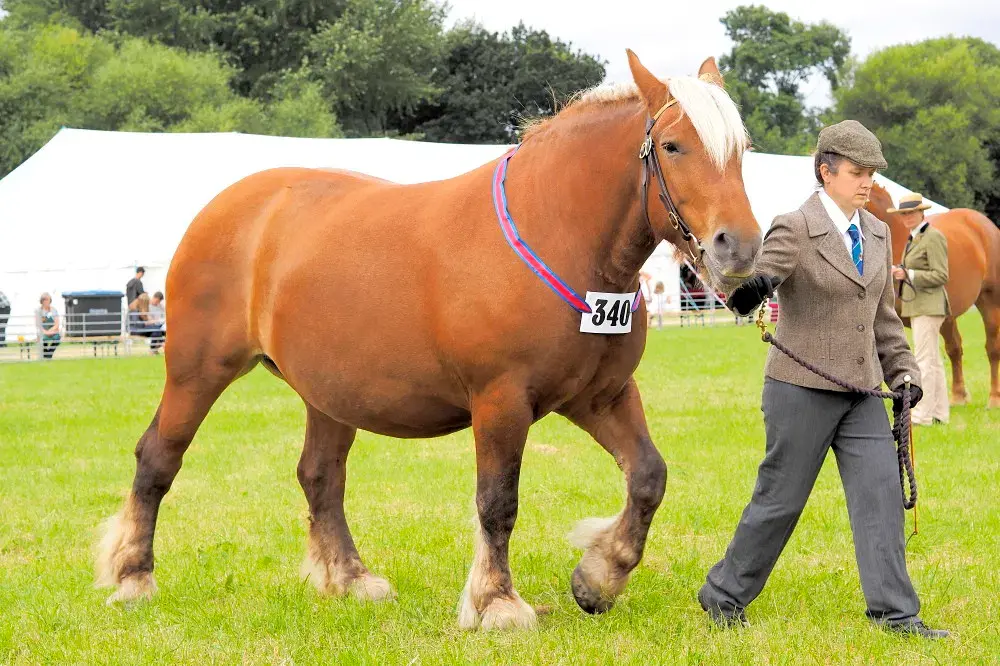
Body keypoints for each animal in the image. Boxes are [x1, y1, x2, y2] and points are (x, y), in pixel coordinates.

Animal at [95, 51, 762, 630]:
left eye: (743, 150)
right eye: (672, 146)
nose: (739, 247)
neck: (555, 235)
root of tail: (228, 208)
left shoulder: (600, 396)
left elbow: (648, 476)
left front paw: (599, 577)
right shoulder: (500, 402)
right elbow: (498, 503)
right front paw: (497, 604)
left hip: (327, 393)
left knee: (320, 476)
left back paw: (350, 577)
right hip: (197, 370)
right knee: (158, 458)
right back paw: (133, 577)